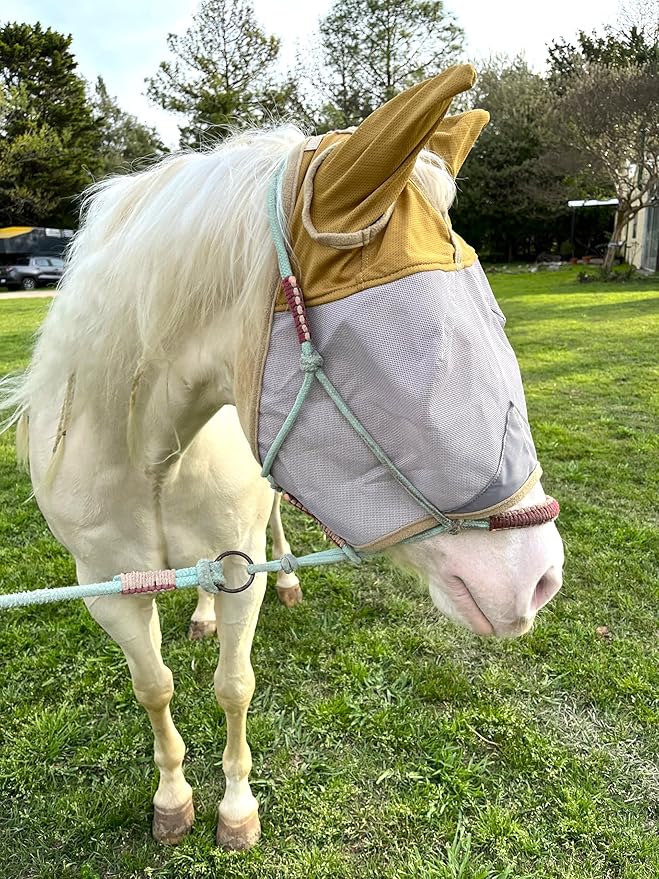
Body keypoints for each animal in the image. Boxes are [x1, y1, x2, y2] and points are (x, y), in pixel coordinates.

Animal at [0, 65, 564, 850]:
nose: (538, 579)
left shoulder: (240, 568)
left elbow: (233, 686)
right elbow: (155, 686)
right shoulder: (106, 588)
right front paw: (173, 798)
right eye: (418, 359)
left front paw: (236, 809)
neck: (148, 456)